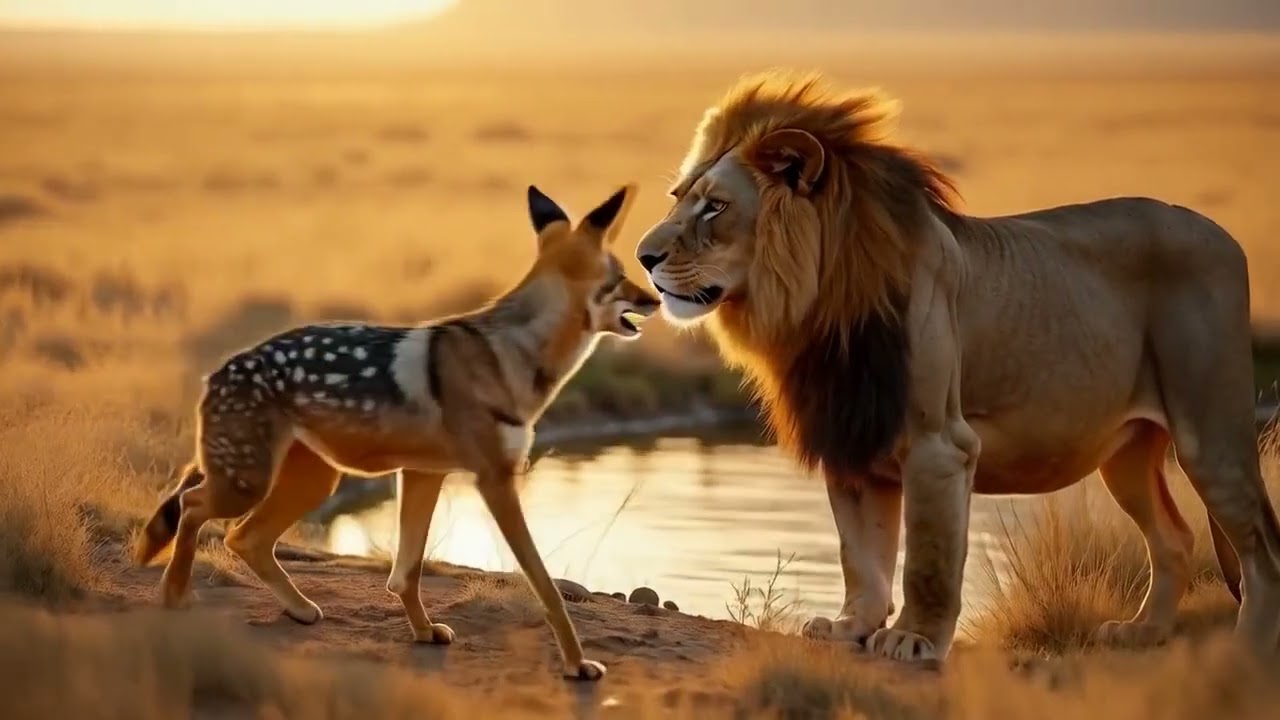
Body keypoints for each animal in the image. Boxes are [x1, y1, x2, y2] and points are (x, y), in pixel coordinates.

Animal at [633, 70, 1280, 664]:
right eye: (678, 199)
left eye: (715, 207)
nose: (643, 256)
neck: (821, 306)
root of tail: (1222, 234)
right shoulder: (852, 436)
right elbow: (859, 555)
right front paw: (850, 626)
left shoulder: (938, 445)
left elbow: (928, 554)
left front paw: (914, 639)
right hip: (1124, 454)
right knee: (1174, 536)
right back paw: (1143, 633)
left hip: (1209, 435)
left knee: (1261, 548)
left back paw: (1247, 646)